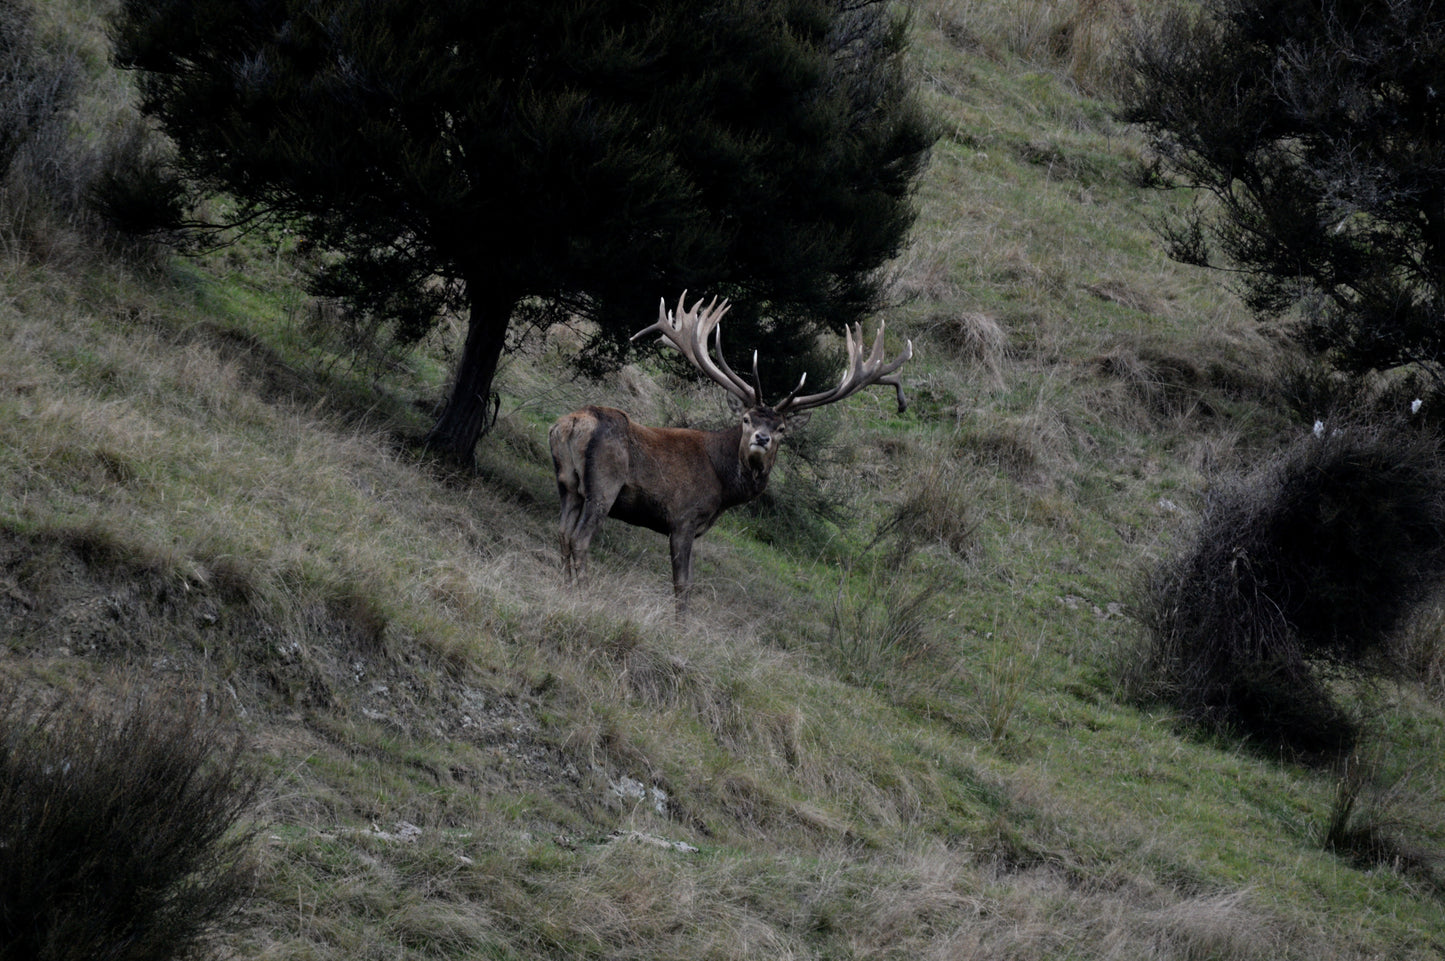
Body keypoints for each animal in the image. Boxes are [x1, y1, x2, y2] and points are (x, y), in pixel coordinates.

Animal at [549, 291, 912, 613]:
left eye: (782, 429)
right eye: (746, 419)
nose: (762, 438)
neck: (723, 487)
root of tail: (570, 425)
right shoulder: (683, 517)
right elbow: (683, 584)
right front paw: (681, 627)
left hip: (567, 484)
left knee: (563, 532)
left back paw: (565, 588)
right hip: (604, 485)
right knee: (580, 538)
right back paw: (584, 593)